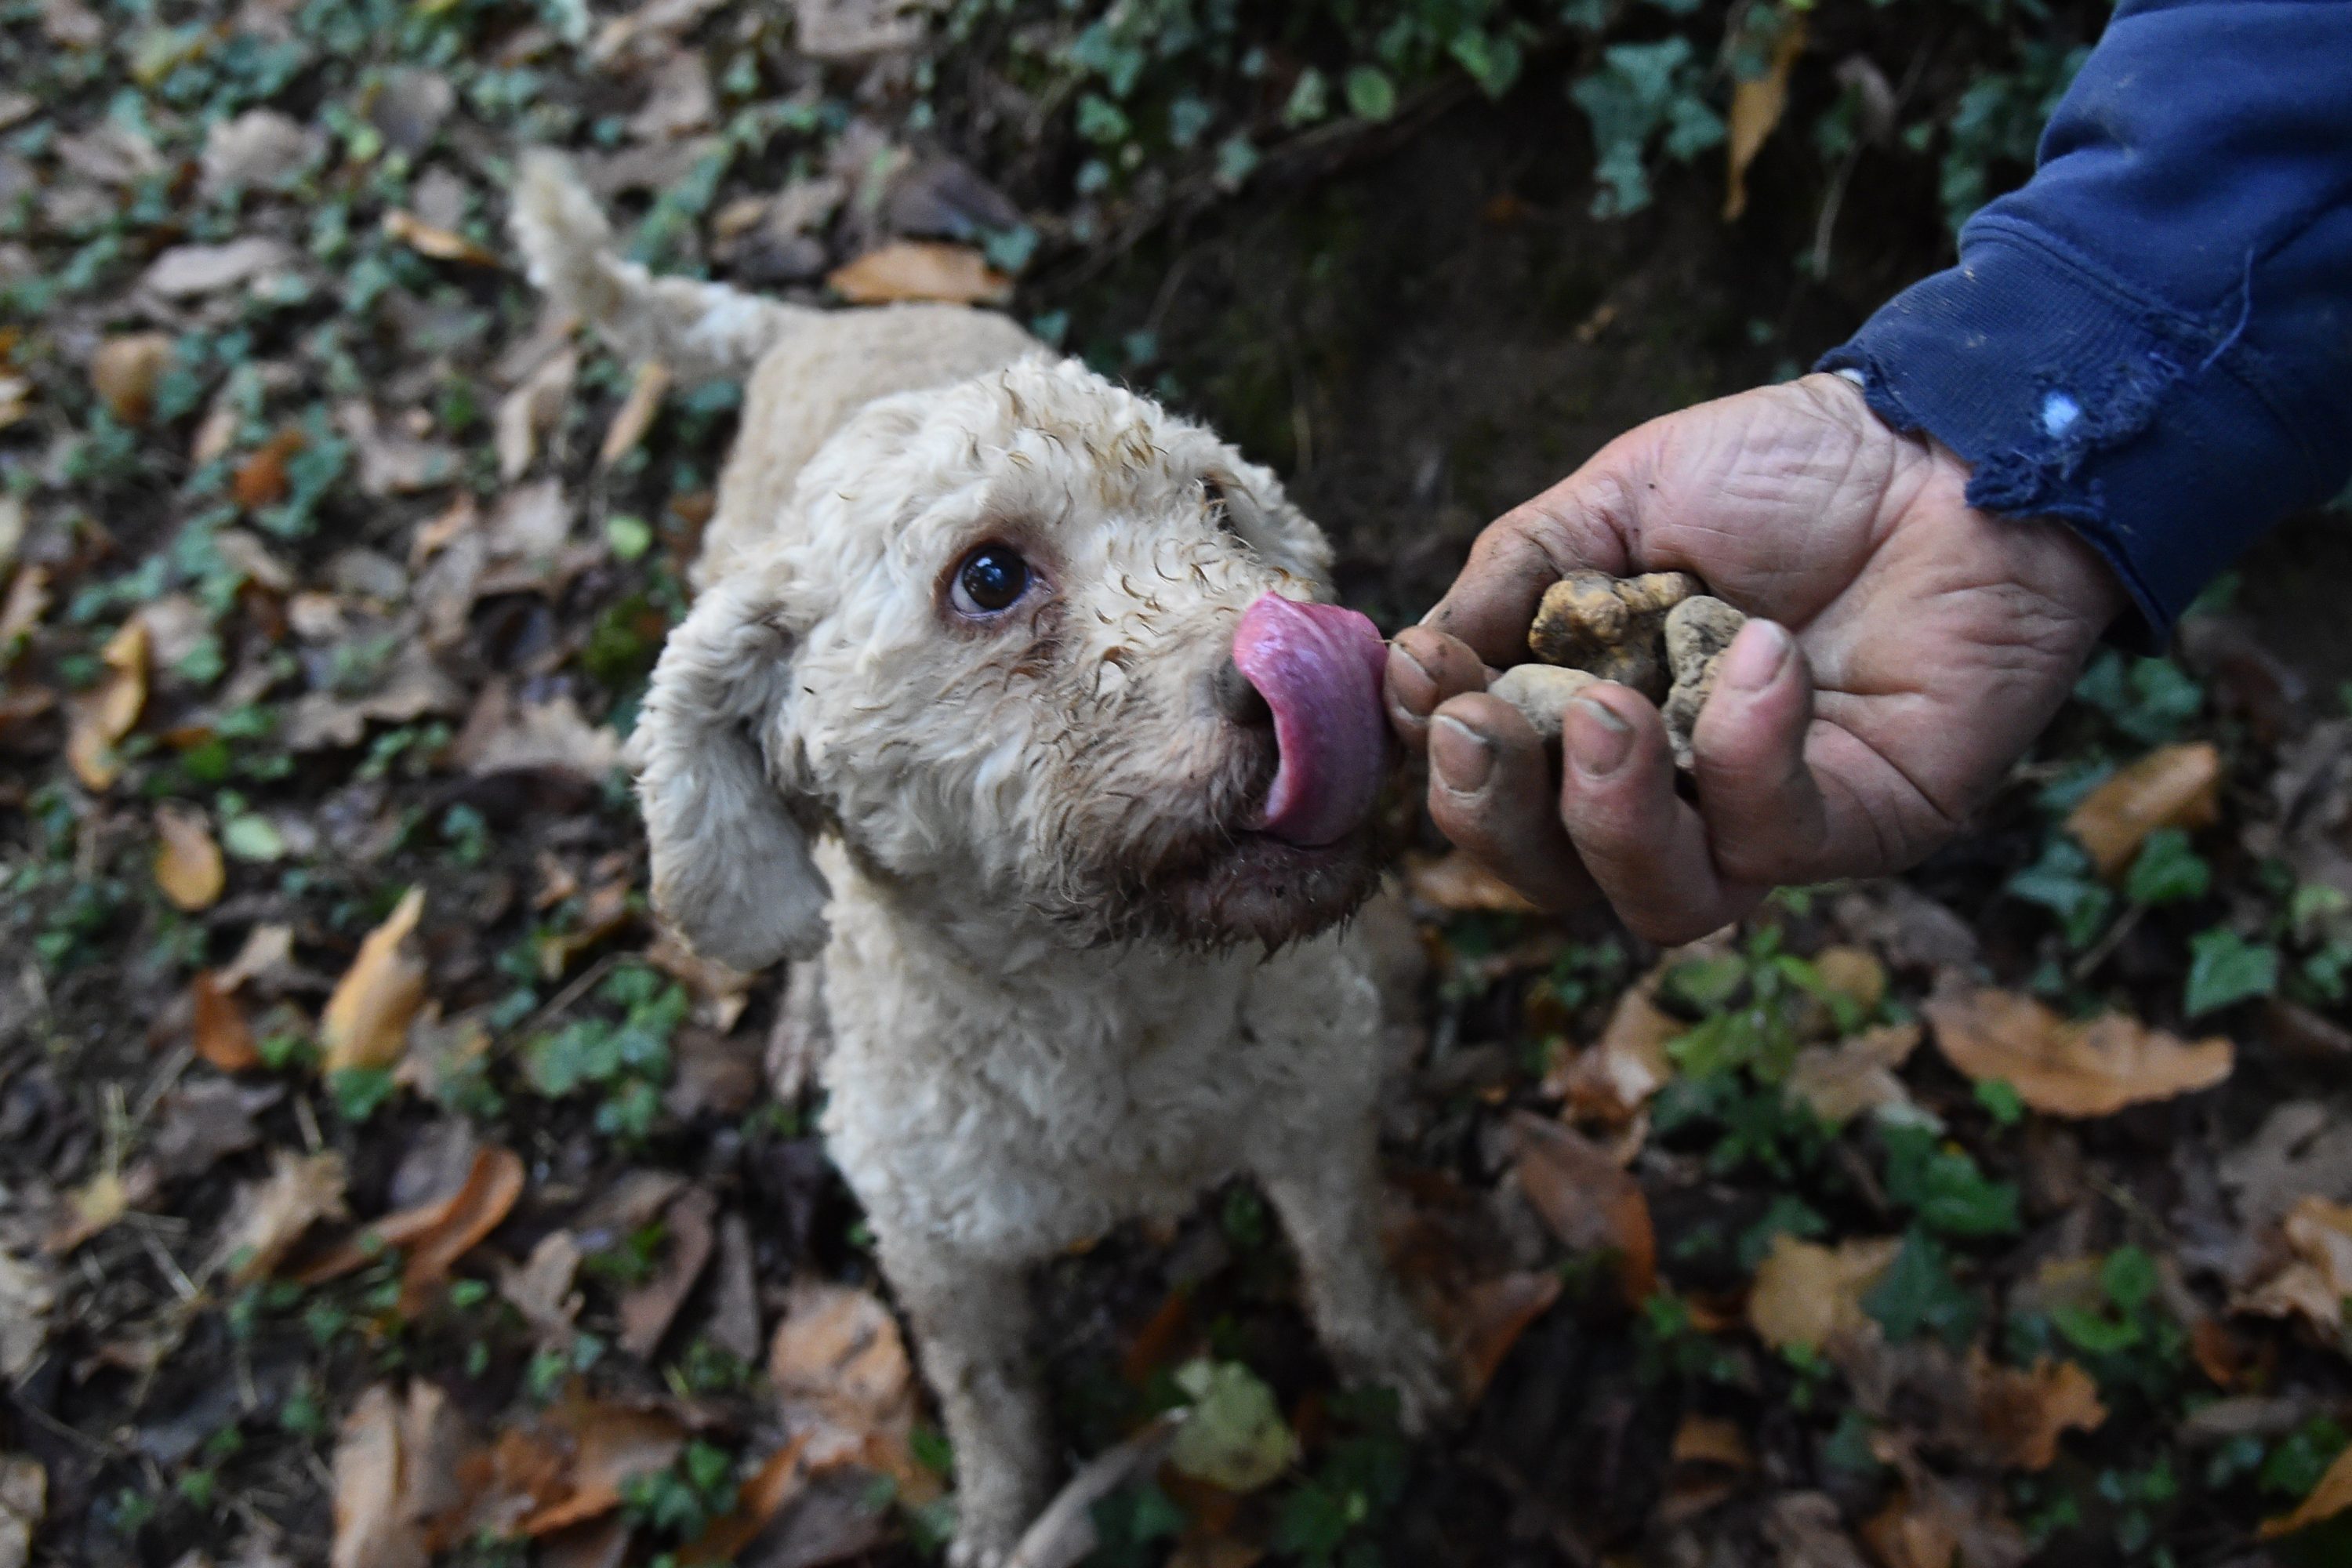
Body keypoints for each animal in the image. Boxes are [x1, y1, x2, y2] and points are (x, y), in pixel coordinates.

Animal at [520, 152, 1449, 1561]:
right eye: (990, 576)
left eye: (1221, 507)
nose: (1332, 662)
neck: (1113, 1015)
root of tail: (809, 327)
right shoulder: (935, 1249)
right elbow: (989, 1395)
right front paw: (1006, 1519)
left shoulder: (1318, 1104)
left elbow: (1345, 1249)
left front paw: (1391, 1360)